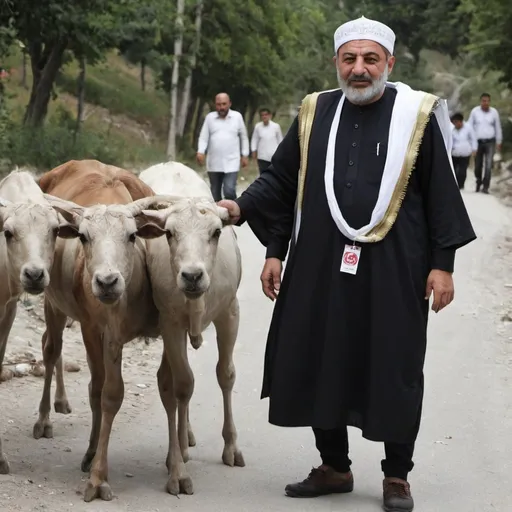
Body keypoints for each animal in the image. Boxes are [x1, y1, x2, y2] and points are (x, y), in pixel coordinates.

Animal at [34, 161, 170, 504]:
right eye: (83, 236)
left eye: (132, 235)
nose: (107, 282)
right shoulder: (97, 330)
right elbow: (103, 392)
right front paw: (96, 470)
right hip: (53, 304)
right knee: (51, 349)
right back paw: (44, 418)